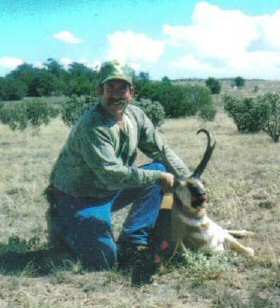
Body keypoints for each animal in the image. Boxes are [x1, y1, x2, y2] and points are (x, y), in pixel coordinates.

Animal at [159, 129, 255, 258]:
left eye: (202, 181)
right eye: (180, 185)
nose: (202, 194)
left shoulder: (224, 236)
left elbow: (244, 249)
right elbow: (249, 252)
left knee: (226, 229)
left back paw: (249, 232)